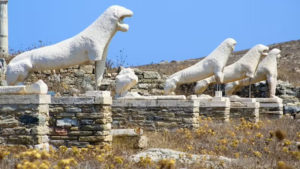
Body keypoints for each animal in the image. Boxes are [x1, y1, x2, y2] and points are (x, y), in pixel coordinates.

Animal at [5, 5, 134, 86]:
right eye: (122, 9)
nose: (131, 11)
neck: (101, 31)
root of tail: (8, 66)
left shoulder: (102, 54)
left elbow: (100, 72)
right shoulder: (94, 50)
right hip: (19, 70)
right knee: (11, 84)